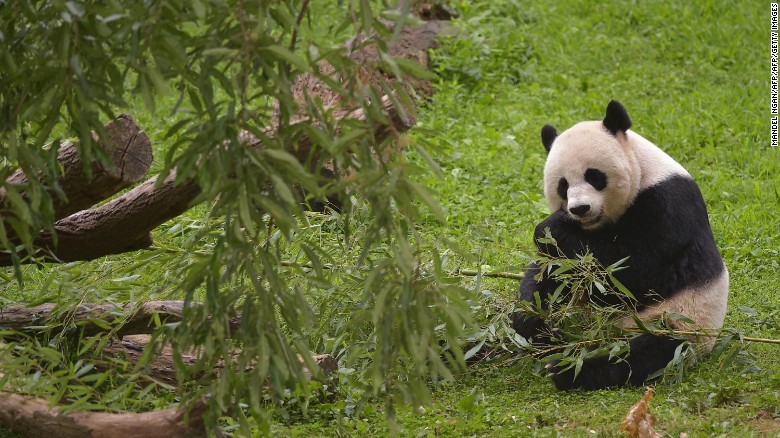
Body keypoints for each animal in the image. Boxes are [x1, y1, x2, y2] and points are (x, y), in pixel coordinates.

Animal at [512, 102, 732, 390]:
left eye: (594, 176)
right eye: (562, 185)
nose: (580, 209)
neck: (644, 171)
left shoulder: (668, 206)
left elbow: (637, 274)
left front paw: (551, 228)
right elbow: (551, 273)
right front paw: (533, 322)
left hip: (683, 322)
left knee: (644, 355)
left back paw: (568, 368)